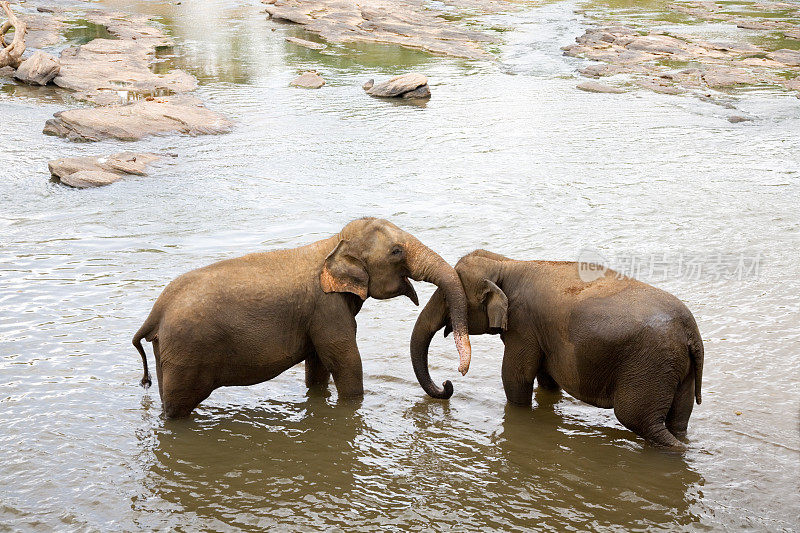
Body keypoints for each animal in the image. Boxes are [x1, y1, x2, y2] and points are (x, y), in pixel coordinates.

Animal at [134, 218, 472, 418]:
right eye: (397, 252)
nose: (450, 382)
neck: (332, 243)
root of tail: (155, 313)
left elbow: (319, 367)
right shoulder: (327, 309)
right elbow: (346, 362)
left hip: (169, 352)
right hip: (186, 353)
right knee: (177, 406)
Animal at [410, 249, 704, 448]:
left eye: (446, 297)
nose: (448, 384)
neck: (505, 263)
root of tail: (691, 332)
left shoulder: (524, 327)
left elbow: (515, 378)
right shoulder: (540, 335)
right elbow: (546, 380)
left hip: (651, 366)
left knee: (638, 419)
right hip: (678, 369)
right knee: (678, 420)